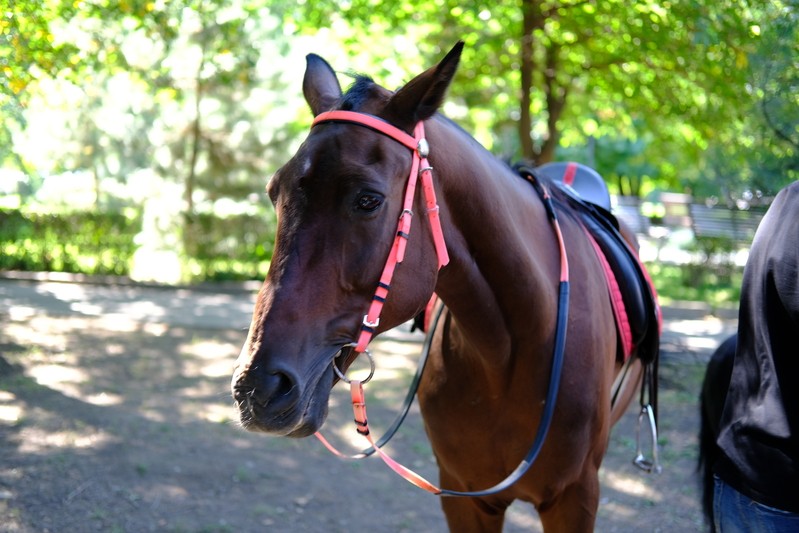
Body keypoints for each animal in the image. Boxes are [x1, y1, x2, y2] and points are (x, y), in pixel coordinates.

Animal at [231, 42, 656, 532]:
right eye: (274, 192)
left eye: (368, 200)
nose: (257, 387)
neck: (511, 349)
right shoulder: (464, 497)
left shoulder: (575, 499)